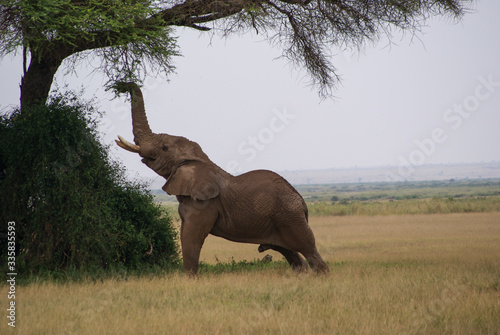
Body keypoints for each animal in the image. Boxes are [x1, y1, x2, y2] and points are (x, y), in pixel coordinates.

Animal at [114, 82, 330, 276]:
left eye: (164, 147)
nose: (122, 84)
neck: (200, 160)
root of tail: (302, 200)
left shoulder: (205, 204)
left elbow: (191, 236)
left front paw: (190, 279)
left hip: (289, 216)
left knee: (308, 248)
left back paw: (321, 276)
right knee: (290, 253)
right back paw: (300, 276)